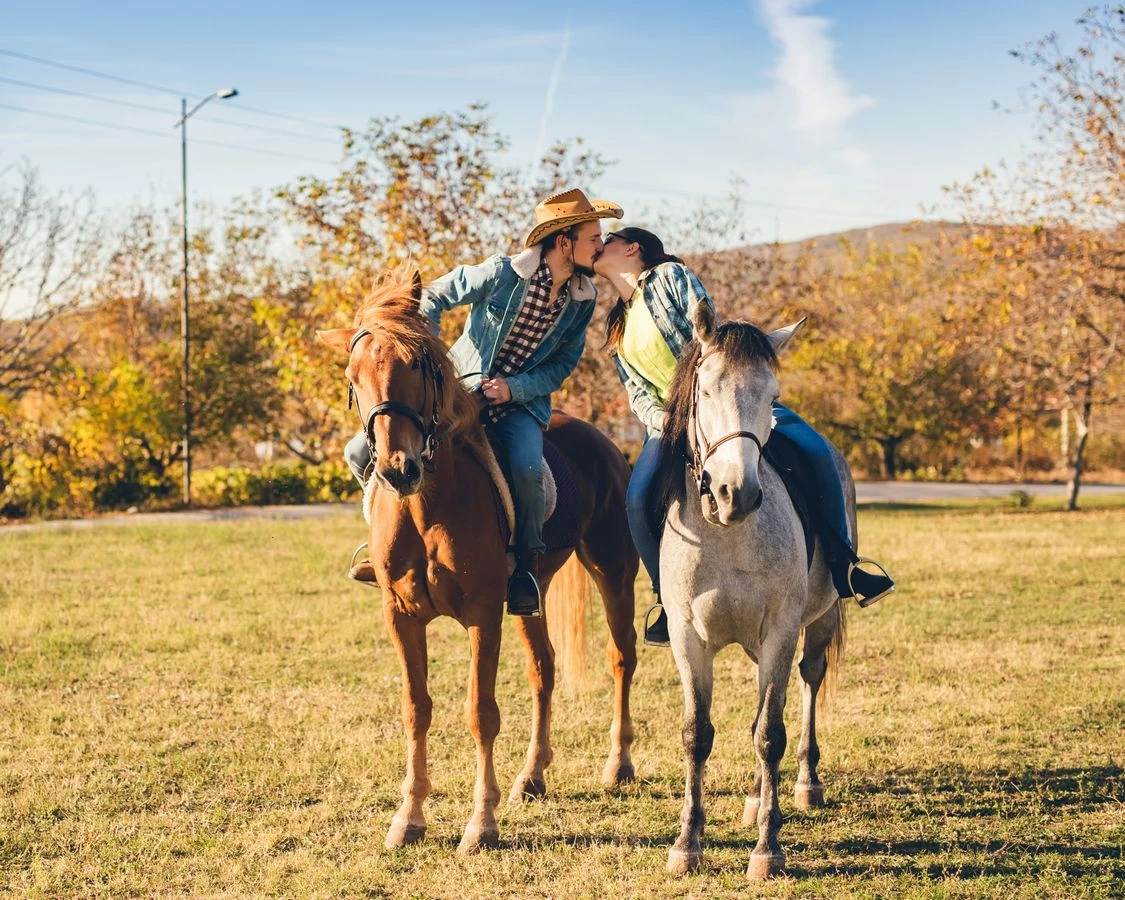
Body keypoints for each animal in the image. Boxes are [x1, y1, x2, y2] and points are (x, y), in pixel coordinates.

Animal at [319, 265, 643, 850]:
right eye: (354, 375)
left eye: (417, 365)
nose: (398, 469)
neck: (427, 503)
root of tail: (600, 438)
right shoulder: (401, 616)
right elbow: (416, 708)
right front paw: (409, 817)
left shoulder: (482, 615)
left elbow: (480, 713)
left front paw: (482, 824)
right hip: (532, 594)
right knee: (544, 670)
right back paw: (532, 776)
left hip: (613, 569)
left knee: (621, 657)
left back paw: (619, 763)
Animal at [657, 303, 846, 877]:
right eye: (706, 390)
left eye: (773, 395)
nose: (736, 493)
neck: (728, 533)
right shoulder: (688, 638)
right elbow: (698, 734)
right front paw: (687, 843)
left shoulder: (781, 632)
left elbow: (770, 735)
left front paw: (768, 848)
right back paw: (756, 796)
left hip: (817, 623)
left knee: (807, 683)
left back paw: (804, 784)